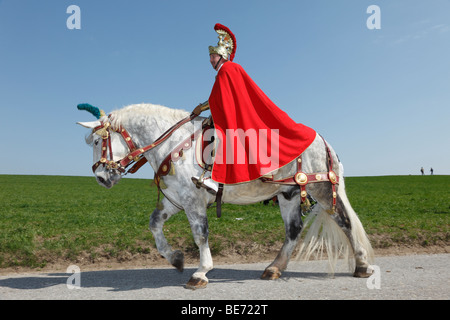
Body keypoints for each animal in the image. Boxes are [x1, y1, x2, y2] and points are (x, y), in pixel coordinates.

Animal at [76, 103, 372, 290]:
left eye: (96, 141)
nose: (101, 178)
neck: (173, 143)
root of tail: (323, 141)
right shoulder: (175, 201)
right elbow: (154, 224)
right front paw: (175, 258)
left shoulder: (194, 202)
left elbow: (200, 235)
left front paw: (200, 272)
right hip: (288, 194)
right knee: (293, 230)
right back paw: (274, 268)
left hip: (319, 188)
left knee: (344, 221)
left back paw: (362, 265)